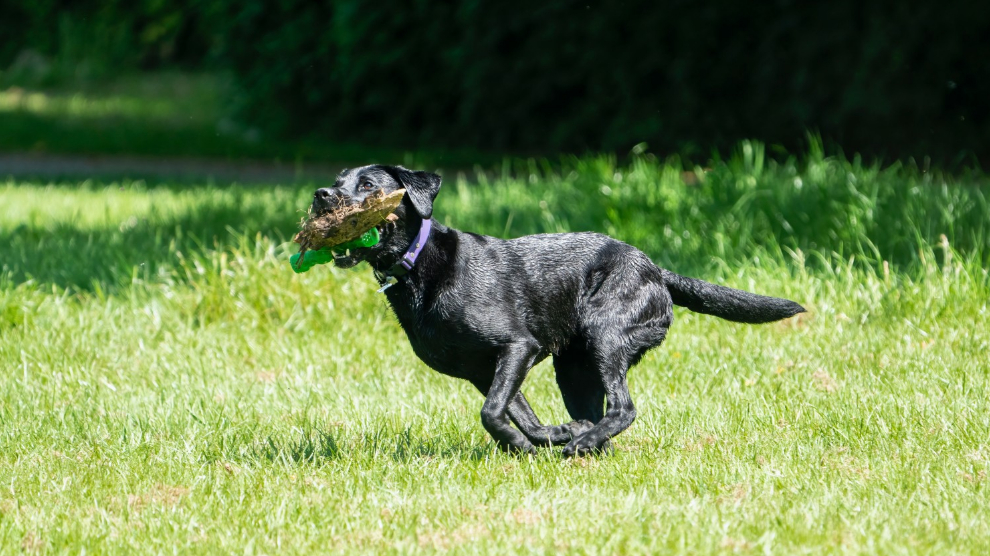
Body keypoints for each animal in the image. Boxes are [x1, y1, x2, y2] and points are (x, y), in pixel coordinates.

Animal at [314, 165, 808, 456]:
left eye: (368, 185)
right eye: (337, 182)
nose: (321, 195)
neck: (419, 268)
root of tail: (656, 270)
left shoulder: (518, 346)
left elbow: (493, 412)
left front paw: (528, 445)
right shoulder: (484, 369)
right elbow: (517, 411)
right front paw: (543, 439)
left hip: (605, 336)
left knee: (624, 408)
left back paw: (583, 442)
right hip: (574, 367)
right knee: (595, 412)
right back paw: (583, 441)